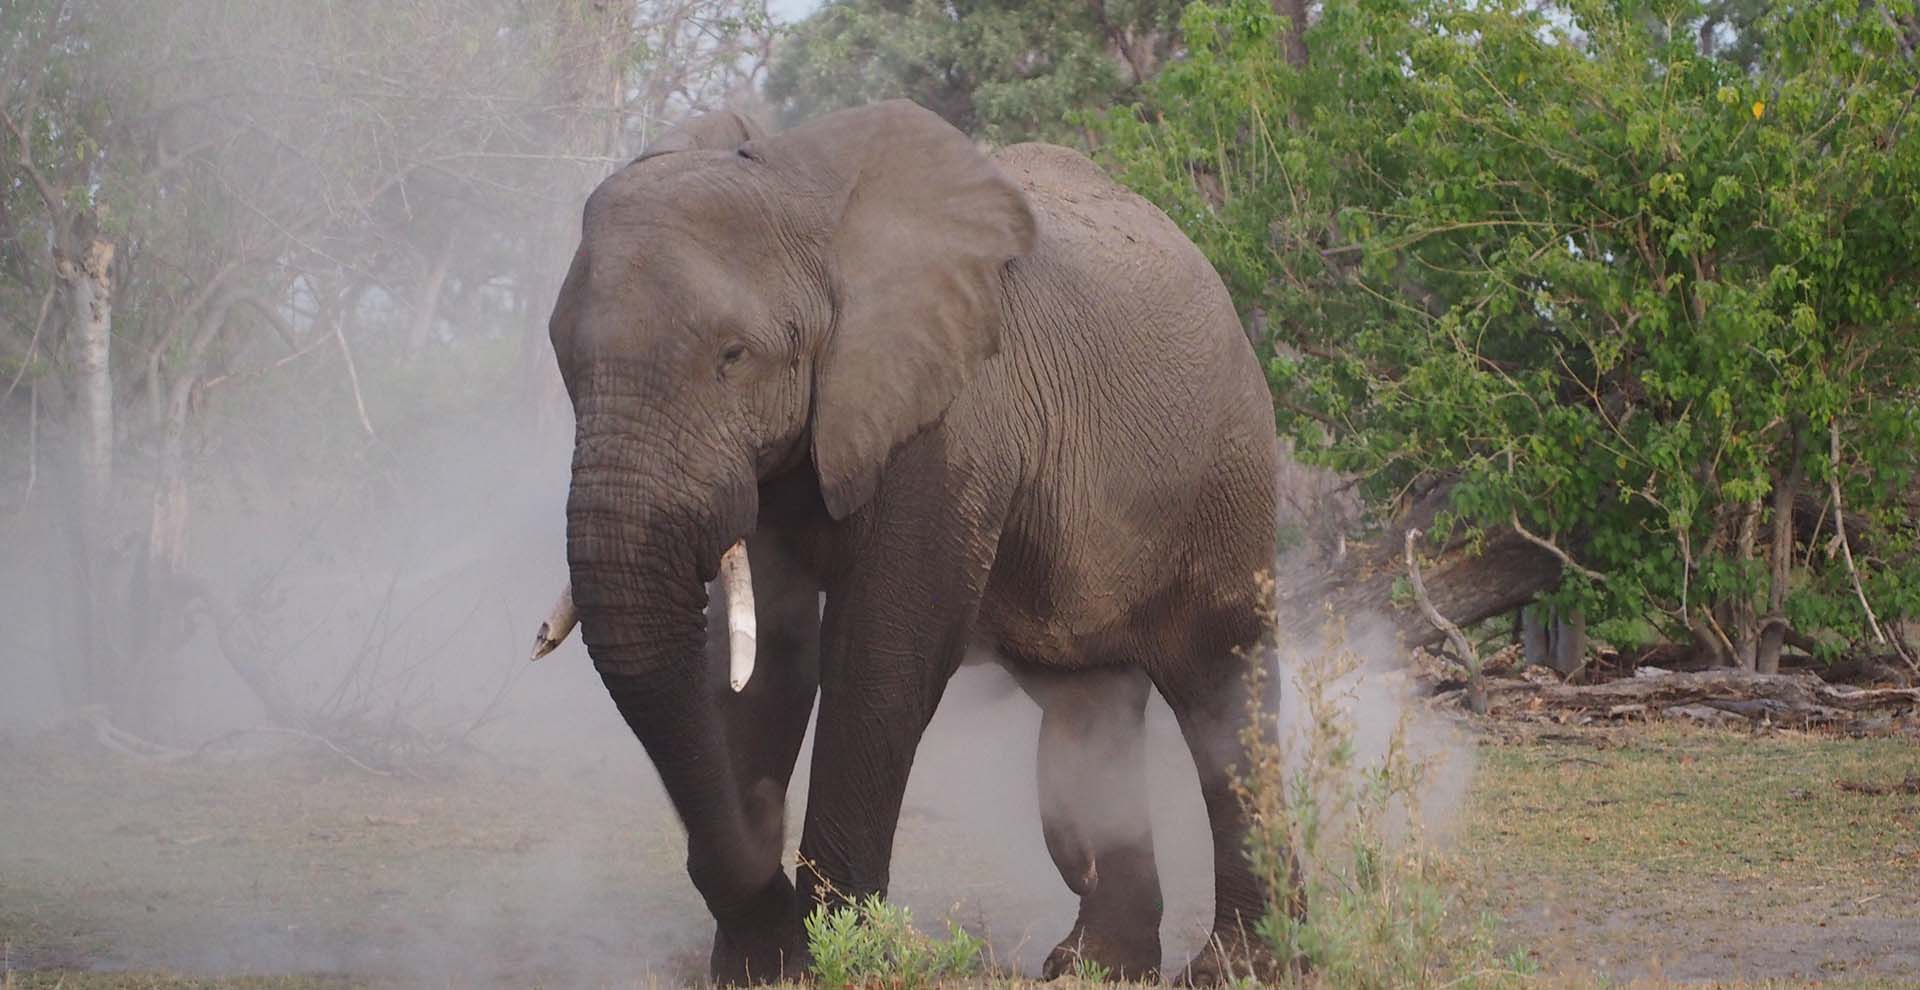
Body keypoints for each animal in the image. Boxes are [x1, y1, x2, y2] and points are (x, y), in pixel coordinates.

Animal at [541, 98, 1290, 982]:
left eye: (733, 356)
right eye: (563, 357)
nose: (760, 839)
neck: (802, 191)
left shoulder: (954, 411)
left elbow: (881, 652)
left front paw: (836, 952)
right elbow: (770, 660)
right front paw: (766, 967)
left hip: (1225, 473)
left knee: (1224, 696)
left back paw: (1241, 965)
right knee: (1091, 712)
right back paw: (1096, 966)